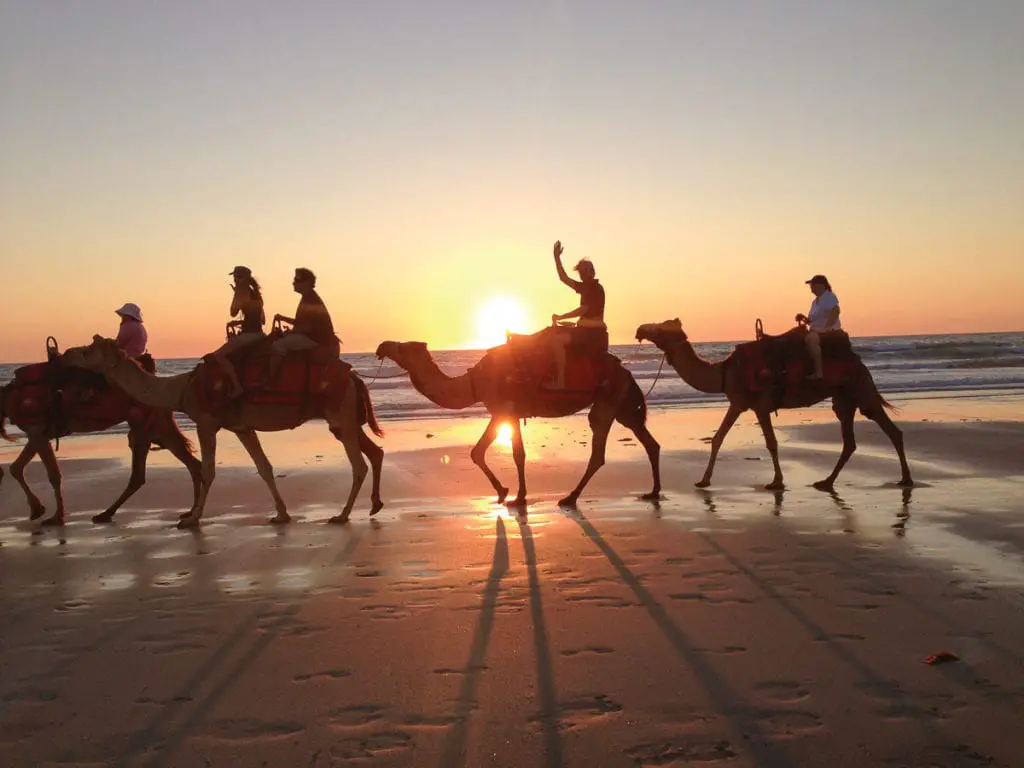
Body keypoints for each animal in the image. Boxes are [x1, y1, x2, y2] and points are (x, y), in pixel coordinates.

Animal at [0, 364, 199, 528]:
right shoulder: (37, 433)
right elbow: (16, 468)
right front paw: (38, 510)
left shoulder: (36, 429)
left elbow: (52, 475)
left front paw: (54, 516)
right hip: (156, 425)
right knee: (186, 463)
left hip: (145, 423)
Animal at [61, 335, 385, 528]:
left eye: (88, 350)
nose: (65, 353)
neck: (182, 390)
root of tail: (355, 377)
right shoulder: (242, 427)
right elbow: (264, 467)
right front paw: (281, 514)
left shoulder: (206, 421)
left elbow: (207, 470)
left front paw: (192, 518)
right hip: (345, 421)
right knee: (375, 452)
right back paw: (374, 505)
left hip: (341, 414)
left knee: (358, 464)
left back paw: (342, 515)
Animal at [376, 335, 663, 505]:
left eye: (403, 346)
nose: (382, 346)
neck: (474, 382)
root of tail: (625, 371)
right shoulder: (500, 413)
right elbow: (479, 452)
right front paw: (504, 492)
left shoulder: (506, 410)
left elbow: (516, 454)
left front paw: (517, 497)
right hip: (623, 407)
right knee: (649, 441)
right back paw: (653, 491)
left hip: (606, 400)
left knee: (598, 451)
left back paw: (570, 497)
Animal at [630, 319, 913, 493]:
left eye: (661, 327)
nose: (640, 329)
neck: (723, 372)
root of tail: (859, 361)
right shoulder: (741, 403)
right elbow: (719, 438)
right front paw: (703, 480)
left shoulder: (756, 404)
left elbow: (770, 443)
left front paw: (776, 482)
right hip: (843, 399)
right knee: (850, 441)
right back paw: (825, 481)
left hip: (861, 390)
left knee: (891, 431)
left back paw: (906, 479)